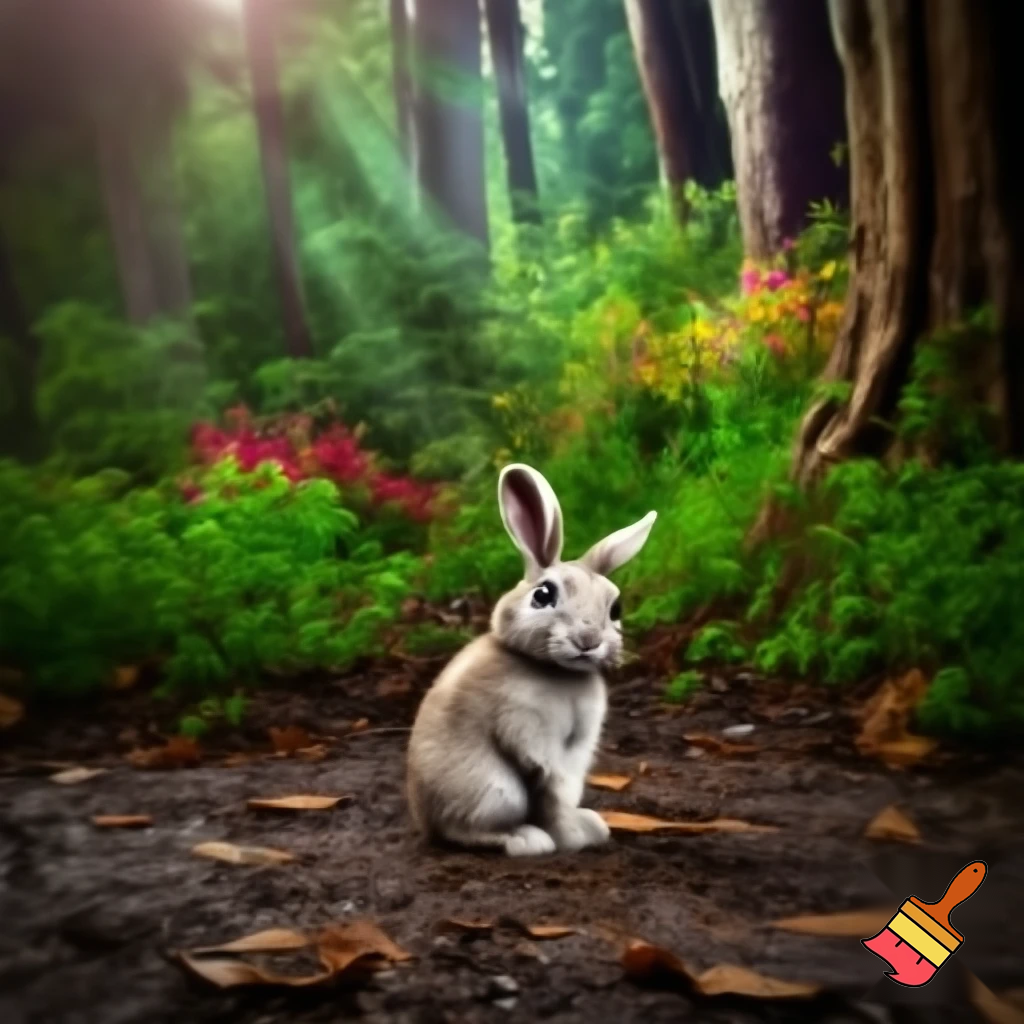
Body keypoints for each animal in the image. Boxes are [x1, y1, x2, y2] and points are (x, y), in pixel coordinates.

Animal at [406, 463, 656, 856]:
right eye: (543, 595)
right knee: (463, 830)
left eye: (616, 608)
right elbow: (551, 791)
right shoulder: (528, 735)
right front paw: (568, 839)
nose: (588, 641)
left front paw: (583, 831)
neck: (556, 671)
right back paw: (526, 840)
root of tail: (424, 820)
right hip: (496, 790)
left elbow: (564, 793)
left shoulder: (576, 752)